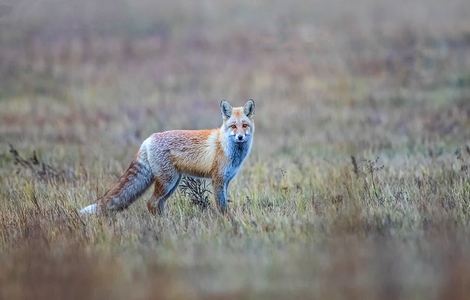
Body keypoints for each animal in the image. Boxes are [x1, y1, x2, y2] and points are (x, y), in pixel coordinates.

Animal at [81, 100, 258, 216]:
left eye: (245, 125)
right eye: (233, 126)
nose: (240, 137)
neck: (228, 148)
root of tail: (148, 139)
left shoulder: (226, 181)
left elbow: (225, 203)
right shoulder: (218, 180)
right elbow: (222, 207)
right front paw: (227, 222)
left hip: (172, 183)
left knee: (158, 204)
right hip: (168, 182)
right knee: (151, 203)